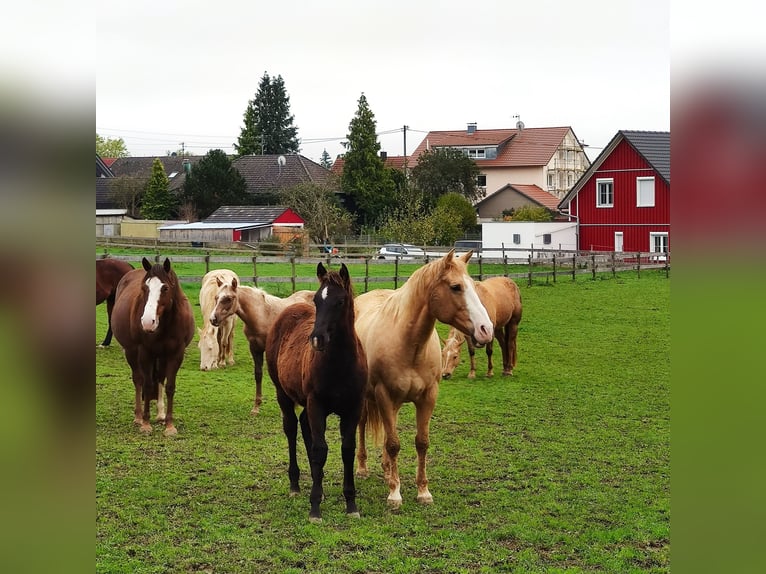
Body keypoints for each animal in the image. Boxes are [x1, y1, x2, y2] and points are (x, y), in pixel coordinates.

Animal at [110, 258, 195, 436]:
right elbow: (148, 385)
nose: (148, 322)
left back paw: (160, 414)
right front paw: (146, 423)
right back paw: (138, 416)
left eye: (165, 288)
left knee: (160, 378)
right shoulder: (145, 353)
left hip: (161, 356)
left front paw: (169, 425)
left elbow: (169, 387)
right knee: (138, 379)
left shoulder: (176, 354)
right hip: (131, 352)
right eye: (144, 288)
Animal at [210, 280, 316, 414]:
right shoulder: (255, 348)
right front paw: (256, 407)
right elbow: (258, 374)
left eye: (228, 298)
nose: (213, 319)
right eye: (216, 297)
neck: (263, 315)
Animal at [268, 264, 368, 524]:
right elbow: (319, 450)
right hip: (283, 394)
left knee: (305, 427)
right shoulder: (317, 405)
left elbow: (347, 450)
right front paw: (314, 508)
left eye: (340, 301)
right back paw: (295, 485)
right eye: (316, 299)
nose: (316, 339)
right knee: (292, 429)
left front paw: (351, 504)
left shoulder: (353, 408)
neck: (340, 364)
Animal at [356, 250, 496, 510]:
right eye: (455, 287)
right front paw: (395, 494)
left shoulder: (428, 397)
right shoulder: (384, 395)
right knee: (361, 425)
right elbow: (394, 444)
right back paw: (362, 468)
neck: (408, 344)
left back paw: (388, 471)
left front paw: (423, 491)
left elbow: (421, 442)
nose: (486, 330)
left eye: (473, 285)